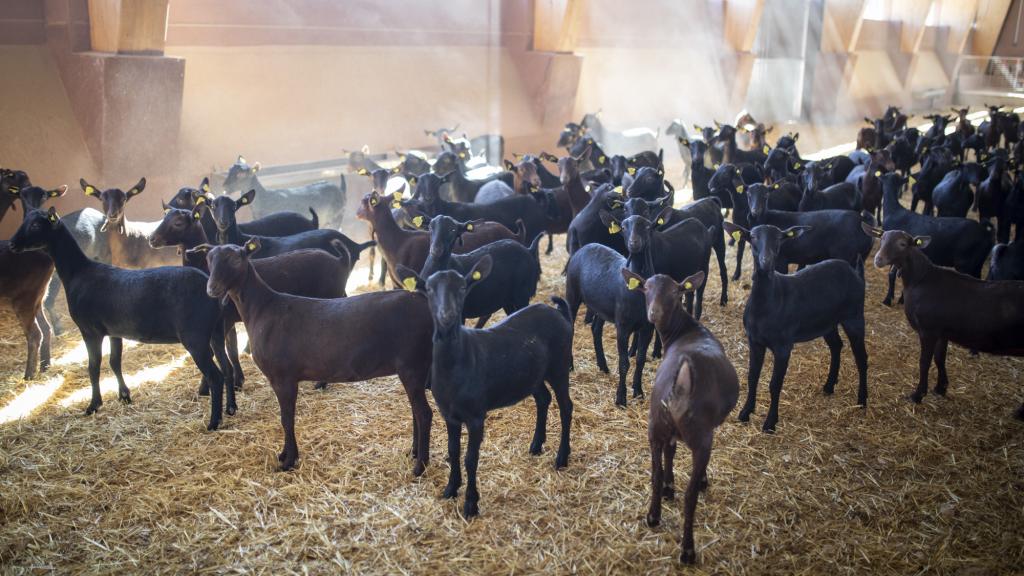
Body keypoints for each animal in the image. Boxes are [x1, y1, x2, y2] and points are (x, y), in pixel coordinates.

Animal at [205, 237, 434, 471]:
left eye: (235, 259)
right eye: (208, 259)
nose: (212, 288)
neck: (261, 309)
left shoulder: (283, 377)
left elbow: (286, 418)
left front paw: (289, 461)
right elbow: (285, 418)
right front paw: (284, 455)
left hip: (412, 364)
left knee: (424, 413)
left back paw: (420, 466)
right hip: (414, 367)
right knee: (415, 410)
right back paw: (414, 453)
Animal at [618, 268, 741, 561]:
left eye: (675, 291)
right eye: (646, 288)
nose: (653, 313)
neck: (685, 331)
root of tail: (682, 379)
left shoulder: (667, 431)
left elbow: (668, 456)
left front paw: (668, 487)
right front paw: (698, 481)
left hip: (655, 422)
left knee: (654, 472)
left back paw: (653, 516)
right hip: (701, 434)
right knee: (690, 495)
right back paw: (687, 550)